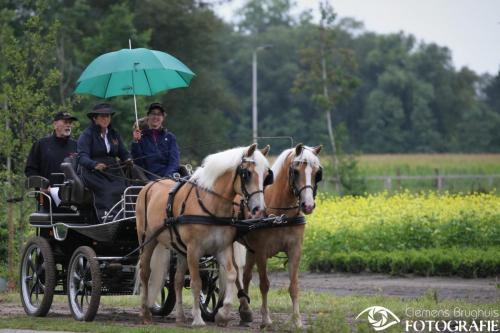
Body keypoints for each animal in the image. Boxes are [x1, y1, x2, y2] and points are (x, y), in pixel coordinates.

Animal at [135, 144, 272, 326]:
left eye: (266, 175)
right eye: (247, 173)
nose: (259, 210)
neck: (211, 206)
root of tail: (148, 186)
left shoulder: (222, 249)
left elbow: (232, 275)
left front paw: (223, 315)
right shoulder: (194, 251)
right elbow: (196, 283)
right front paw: (198, 320)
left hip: (180, 249)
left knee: (178, 280)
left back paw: (180, 317)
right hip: (148, 240)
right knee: (145, 273)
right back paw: (145, 314)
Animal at [236, 143, 322, 326]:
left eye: (317, 172)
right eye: (295, 171)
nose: (308, 205)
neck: (281, 215)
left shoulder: (295, 249)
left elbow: (294, 286)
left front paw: (297, 320)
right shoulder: (261, 251)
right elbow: (264, 284)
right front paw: (266, 319)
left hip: (250, 249)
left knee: (246, 276)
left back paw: (245, 312)